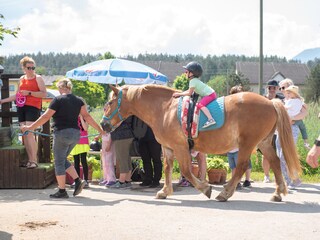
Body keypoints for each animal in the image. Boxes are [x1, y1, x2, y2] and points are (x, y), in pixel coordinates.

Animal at [101, 84, 302, 201]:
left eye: (109, 103)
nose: (103, 124)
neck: (165, 108)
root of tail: (271, 103)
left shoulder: (181, 147)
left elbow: (186, 171)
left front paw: (205, 188)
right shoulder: (167, 147)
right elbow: (167, 168)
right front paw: (165, 191)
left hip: (248, 144)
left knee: (241, 166)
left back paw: (225, 193)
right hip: (264, 142)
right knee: (275, 162)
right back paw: (277, 193)